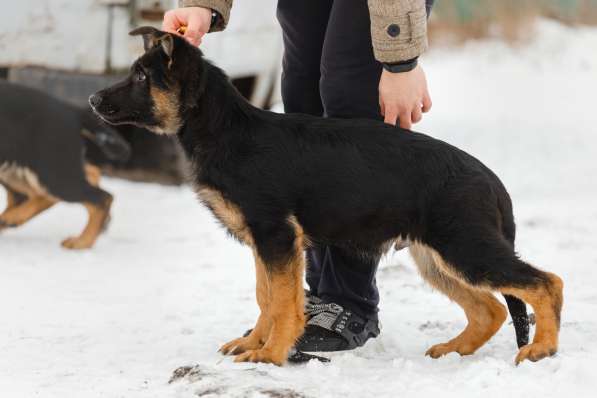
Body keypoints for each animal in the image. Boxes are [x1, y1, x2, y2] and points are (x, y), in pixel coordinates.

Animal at [91, 26, 560, 366]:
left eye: (140, 76)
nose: (93, 99)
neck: (224, 128)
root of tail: (491, 180)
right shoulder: (266, 243)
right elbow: (266, 297)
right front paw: (255, 344)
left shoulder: (278, 238)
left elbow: (282, 302)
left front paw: (271, 355)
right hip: (437, 257)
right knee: (490, 309)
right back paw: (454, 350)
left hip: (464, 248)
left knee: (545, 283)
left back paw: (541, 348)